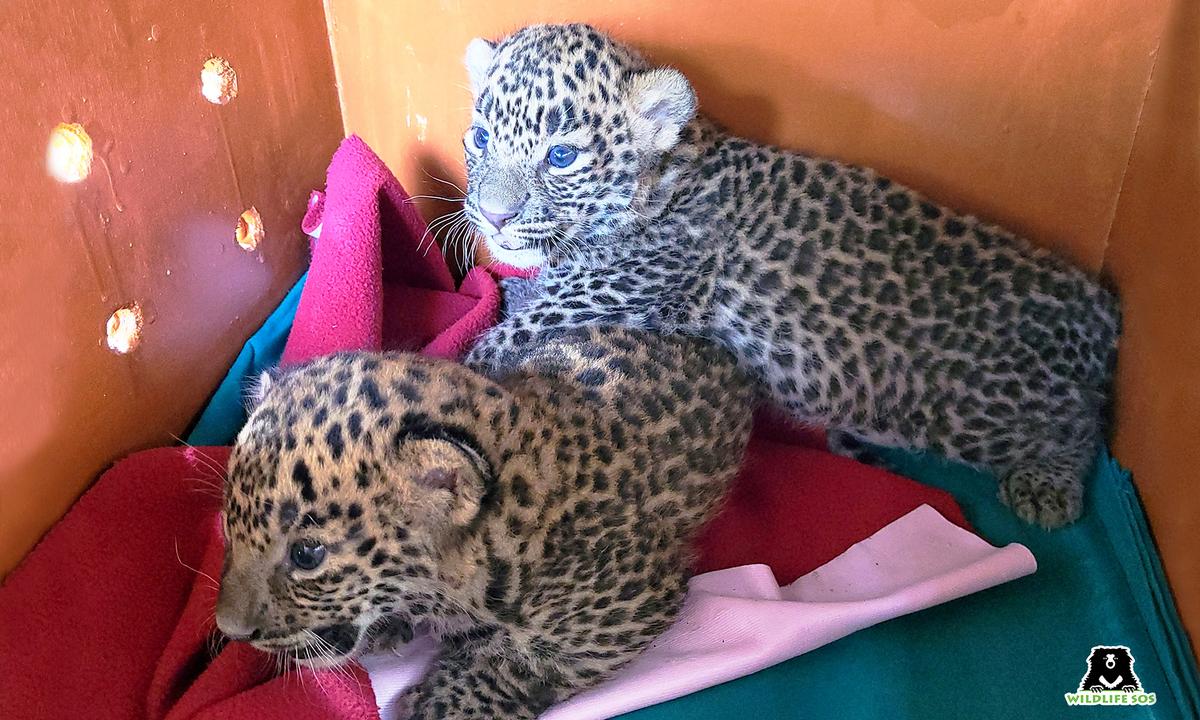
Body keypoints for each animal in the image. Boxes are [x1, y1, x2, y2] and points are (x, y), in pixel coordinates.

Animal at [214, 325, 755, 719]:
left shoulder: (626, 606)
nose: (232, 632)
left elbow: (527, 659)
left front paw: (440, 704)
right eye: (228, 529)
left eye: (308, 554)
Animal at [458, 23, 1122, 529]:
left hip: (969, 403)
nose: (493, 215)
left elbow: (494, 342)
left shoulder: (613, 291)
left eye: (561, 157)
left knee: (1077, 419)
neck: (670, 176)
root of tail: (1094, 302)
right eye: (482, 138)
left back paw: (1048, 487)